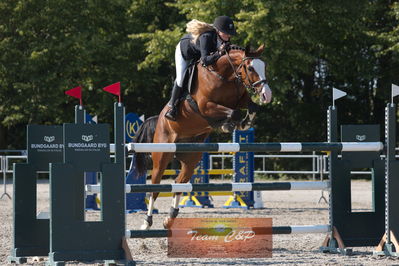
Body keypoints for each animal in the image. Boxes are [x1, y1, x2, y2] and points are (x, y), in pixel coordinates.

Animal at [130, 43, 274, 229]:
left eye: (265, 67)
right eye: (250, 68)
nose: (267, 95)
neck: (225, 75)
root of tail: (159, 120)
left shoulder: (240, 99)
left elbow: (251, 107)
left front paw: (245, 123)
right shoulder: (206, 106)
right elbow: (233, 112)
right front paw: (228, 124)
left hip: (191, 158)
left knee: (179, 182)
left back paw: (170, 218)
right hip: (162, 155)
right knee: (154, 189)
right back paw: (147, 223)